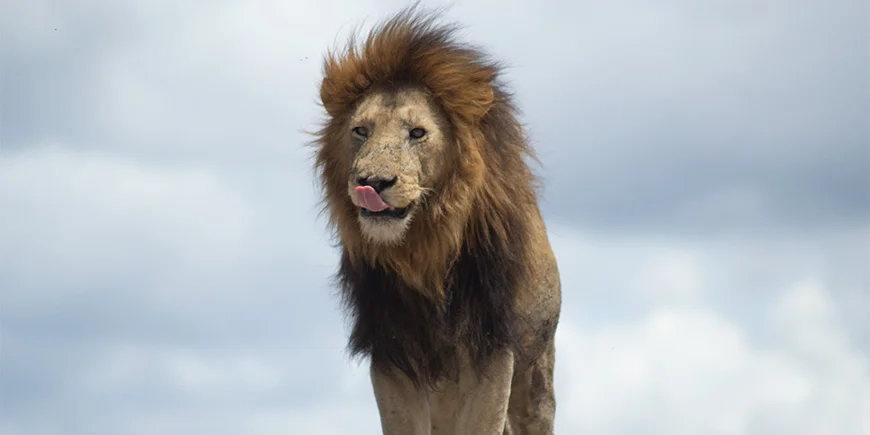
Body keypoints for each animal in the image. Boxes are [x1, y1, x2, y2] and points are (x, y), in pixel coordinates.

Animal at [311, 5, 561, 434]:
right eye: (361, 130)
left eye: (417, 133)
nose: (372, 182)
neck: (424, 252)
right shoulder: (392, 352)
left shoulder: (493, 348)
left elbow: (482, 423)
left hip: (535, 378)